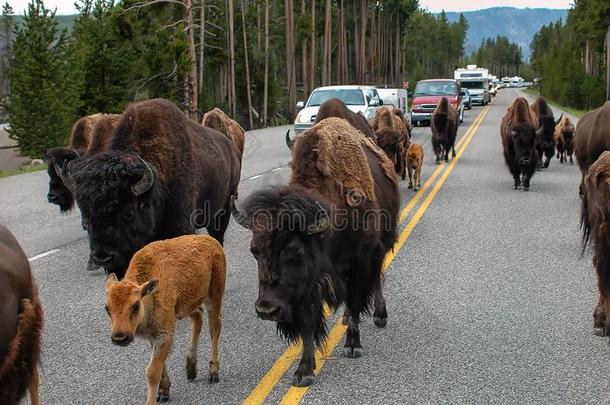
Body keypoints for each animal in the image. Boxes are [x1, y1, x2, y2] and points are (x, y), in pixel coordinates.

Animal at [55, 98, 239, 276]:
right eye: (85, 219)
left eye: (129, 213)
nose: (104, 257)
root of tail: (230, 147)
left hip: (223, 210)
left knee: (218, 237)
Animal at [104, 234, 226, 404]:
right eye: (107, 308)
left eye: (135, 305)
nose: (120, 338)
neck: (149, 295)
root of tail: (212, 241)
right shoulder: (153, 336)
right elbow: (159, 365)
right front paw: (163, 392)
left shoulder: (164, 334)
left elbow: (152, 372)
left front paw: (154, 398)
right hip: (188, 305)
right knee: (198, 319)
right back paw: (191, 369)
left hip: (214, 297)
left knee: (214, 328)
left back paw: (213, 372)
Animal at [230, 116, 396, 386]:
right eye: (254, 251)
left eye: (296, 251)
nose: (267, 309)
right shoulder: (309, 286)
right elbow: (308, 324)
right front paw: (304, 371)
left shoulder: (362, 261)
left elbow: (356, 299)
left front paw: (353, 346)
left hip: (382, 247)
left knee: (376, 282)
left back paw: (380, 315)